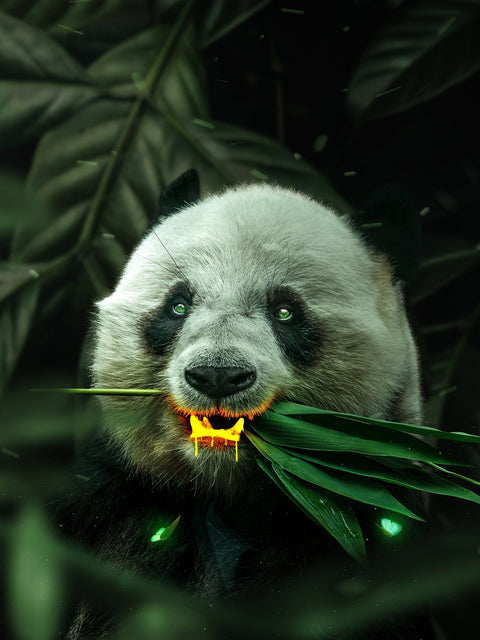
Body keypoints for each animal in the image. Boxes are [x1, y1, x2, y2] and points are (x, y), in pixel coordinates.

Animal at [58, 170, 432, 639]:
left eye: (286, 312)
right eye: (178, 305)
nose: (217, 375)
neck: (226, 490)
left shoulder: (365, 525)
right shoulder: (114, 497)